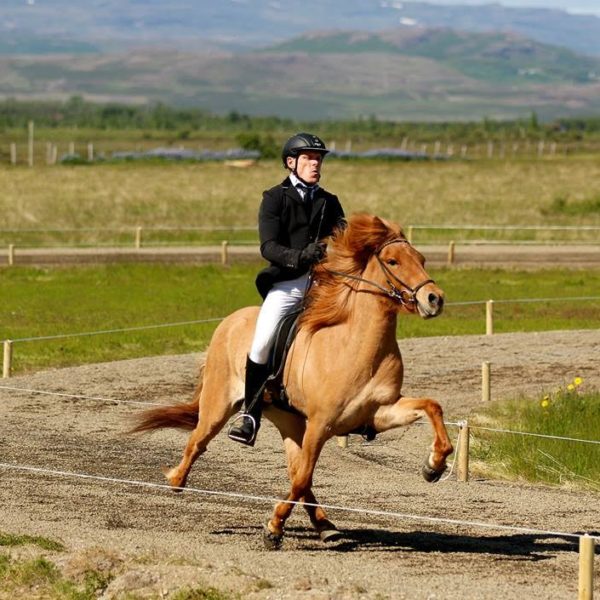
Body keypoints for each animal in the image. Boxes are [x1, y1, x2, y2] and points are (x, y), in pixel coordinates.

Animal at [131, 214, 450, 548]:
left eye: (421, 259)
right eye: (392, 261)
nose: (434, 299)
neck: (358, 346)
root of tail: (230, 320)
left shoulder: (379, 412)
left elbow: (432, 406)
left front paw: (434, 466)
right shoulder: (321, 424)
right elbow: (302, 478)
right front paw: (272, 527)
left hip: (288, 420)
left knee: (296, 471)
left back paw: (326, 525)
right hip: (218, 407)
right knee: (199, 442)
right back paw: (176, 479)